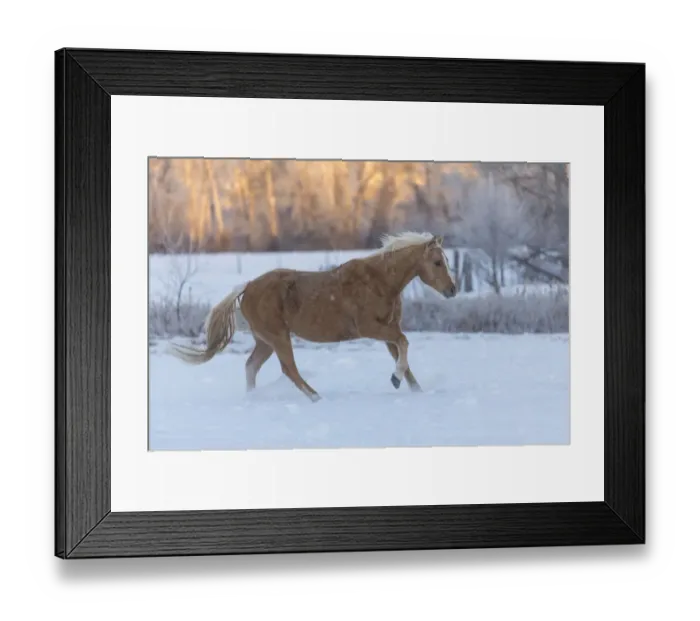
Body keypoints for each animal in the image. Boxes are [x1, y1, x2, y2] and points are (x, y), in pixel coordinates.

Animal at [169, 231, 457, 402]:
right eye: (437, 262)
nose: (452, 290)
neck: (380, 282)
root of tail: (247, 286)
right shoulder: (369, 328)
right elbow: (405, 343)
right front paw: (395, 379)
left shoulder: (387, 332)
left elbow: (404, 359)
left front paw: (413, 389)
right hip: (278, 337)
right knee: (289, 369)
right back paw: (316, 397)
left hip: (265, 341)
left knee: (251, 366)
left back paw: (254, 397)